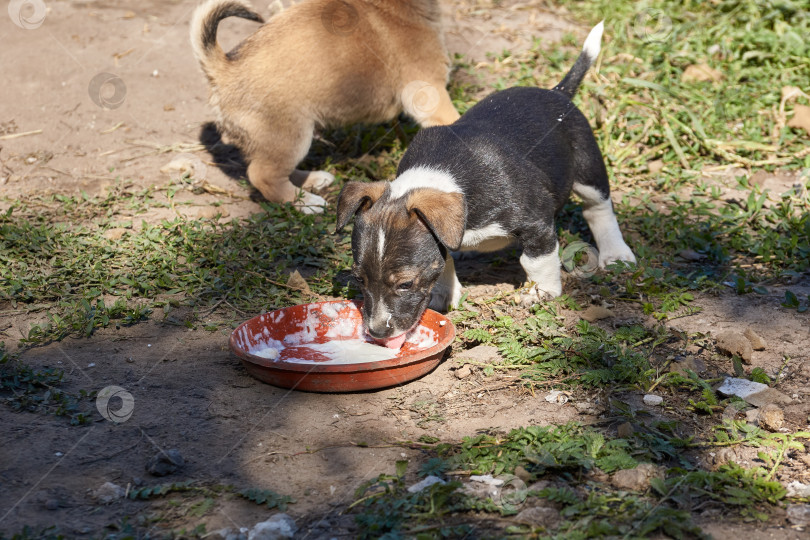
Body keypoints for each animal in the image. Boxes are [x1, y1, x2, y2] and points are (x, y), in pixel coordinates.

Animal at [186, 0, 458, 214]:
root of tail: (223, 69)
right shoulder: (431, 93)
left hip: (288, 140)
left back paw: (313, 180)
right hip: (292, 136)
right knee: (263, 176)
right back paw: (305, 202)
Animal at [332, 22, 632, 346]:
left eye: (405, 284)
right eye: (359, 278)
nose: (376, 332)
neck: (446, 176)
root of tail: (557, 92)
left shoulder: (537, 221)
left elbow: (535, 260)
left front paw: (542, 292)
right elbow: (444, 261)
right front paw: (446, 294)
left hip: (588, 169)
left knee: (598, 208)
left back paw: (616, 253)